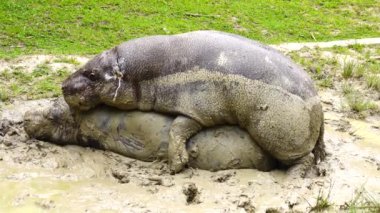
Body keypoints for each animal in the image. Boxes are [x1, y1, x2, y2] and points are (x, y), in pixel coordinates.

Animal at [61, 30, 324, 176]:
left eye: (92, 74)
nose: (63, 86)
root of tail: (318, 105)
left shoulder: (197, 110)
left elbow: (177, 129)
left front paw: (176, 166)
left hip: (280, 138)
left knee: (304, 160)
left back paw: (291, 178)